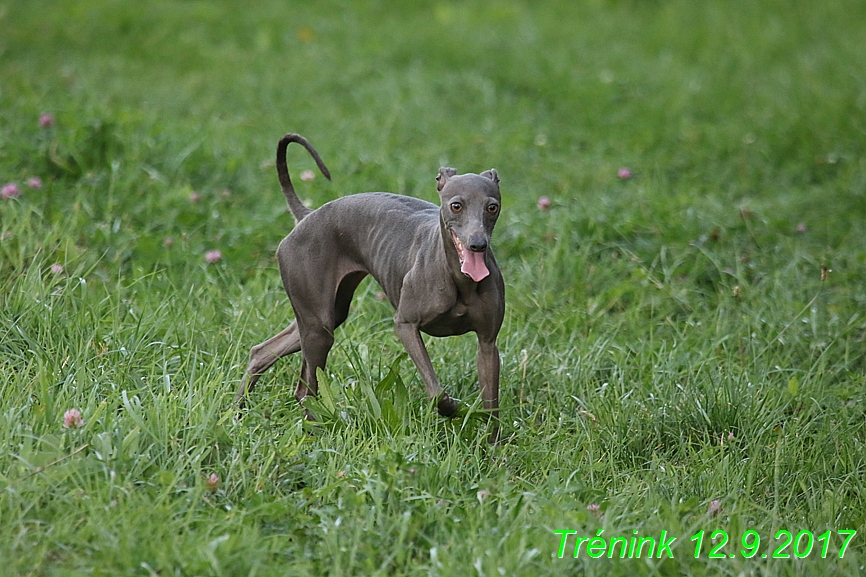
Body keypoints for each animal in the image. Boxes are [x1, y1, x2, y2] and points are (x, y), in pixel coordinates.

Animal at [238, 134, 506, 440]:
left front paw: (492, 447)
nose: (478, 244)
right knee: (306, 389)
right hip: (318, 327)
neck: (460, 281)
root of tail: (307, 215)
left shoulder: (487, 343)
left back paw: (238, 414)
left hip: (323, 317)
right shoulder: (406, 325)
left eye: (492, 207)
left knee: (263, 353)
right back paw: (316, 432)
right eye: (456, 205)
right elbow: (436, 391)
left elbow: (492, 406)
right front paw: (452, 408)